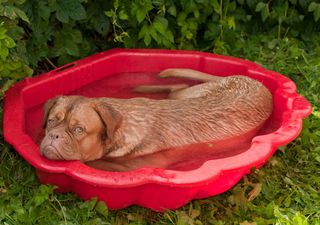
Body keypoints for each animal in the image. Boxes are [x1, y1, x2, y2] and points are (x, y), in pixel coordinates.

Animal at [38, 68, 272, 171]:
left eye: (79, 129)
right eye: (51, 121)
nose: (54, 136)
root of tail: (254, 81)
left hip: (189, 94)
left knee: (177, 87)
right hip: (189, 94)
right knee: (178, 87)